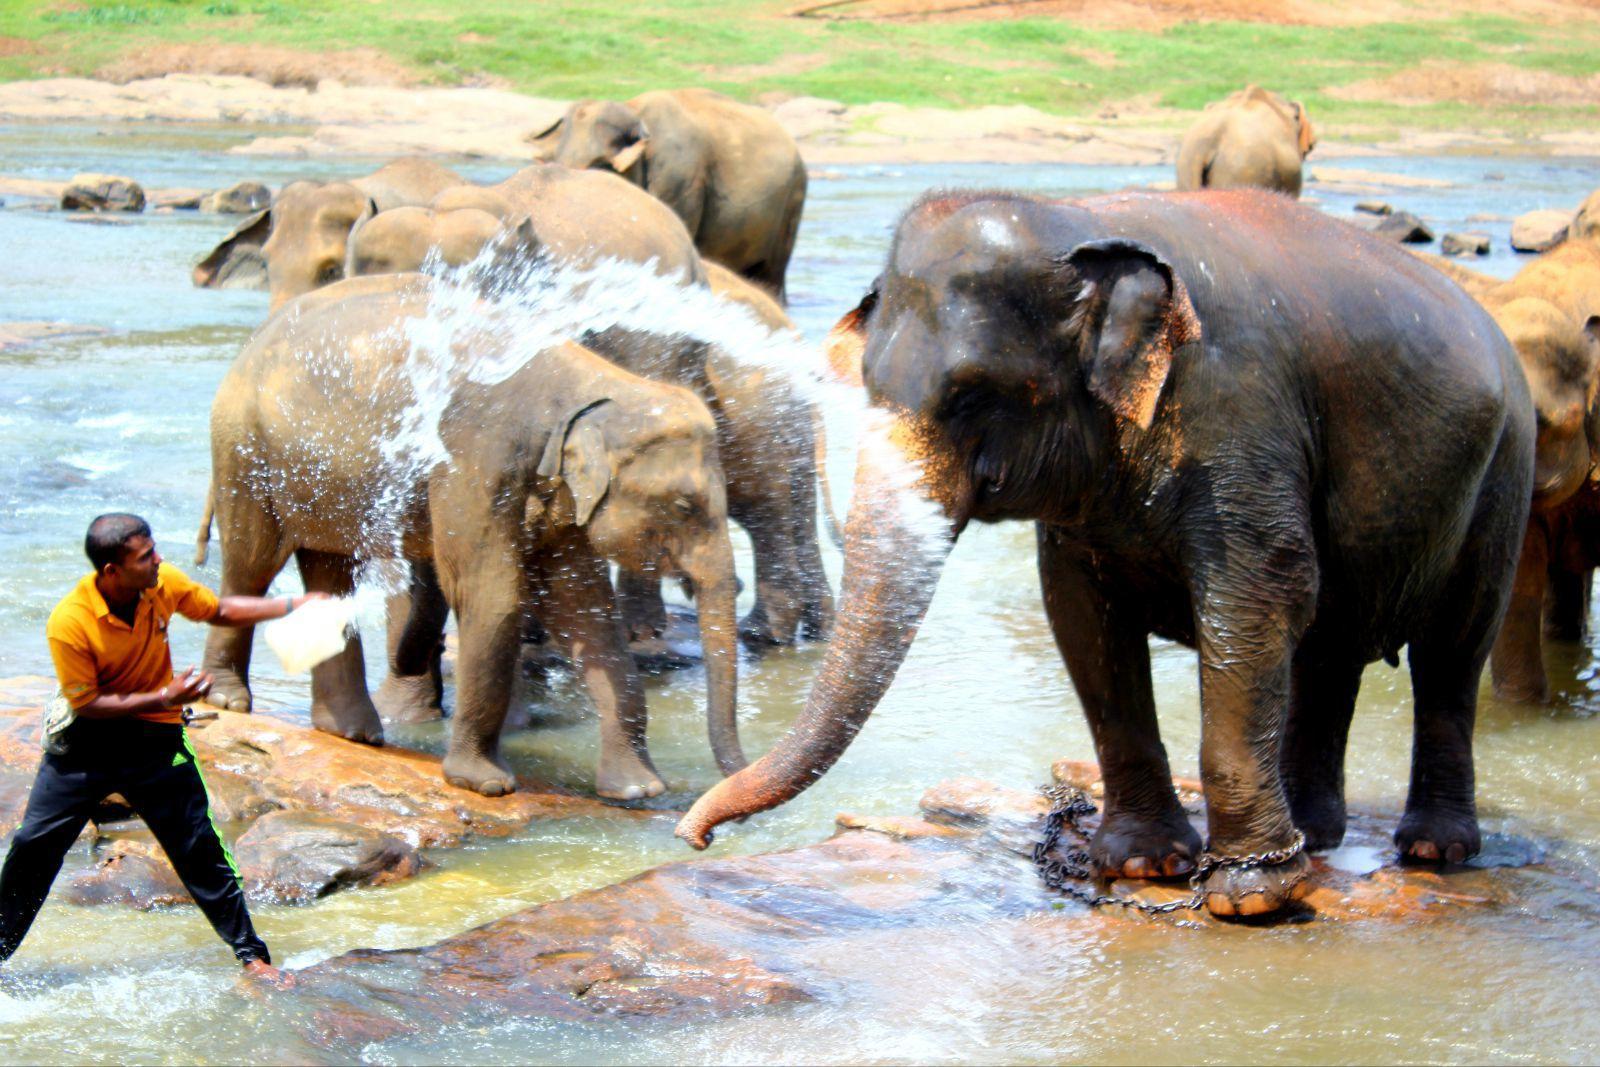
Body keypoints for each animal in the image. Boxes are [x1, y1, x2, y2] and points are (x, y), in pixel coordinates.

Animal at [196, 271, 739, 796]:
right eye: (685, 506)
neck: (598, 386)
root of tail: (254, 339)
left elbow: (585, 609)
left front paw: (637, 791)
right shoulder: (475, 462)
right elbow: (492, 598)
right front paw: (486, 785)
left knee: (330, 575)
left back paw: (351, 732)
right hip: (245, 449)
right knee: (250, 564)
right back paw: (228, 698)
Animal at [531, 88, 806, 300]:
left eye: (600, 164)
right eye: (554, 158)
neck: (635, 112)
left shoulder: (680, 178)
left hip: (790, 205)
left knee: (771, 274)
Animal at [678, 189, 1536, 921]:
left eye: (970, 394)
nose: (694, 833)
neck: (1078, 219)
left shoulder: (1240, 414)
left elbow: (1257, 601)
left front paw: (1249, 898)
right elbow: (1081, 617)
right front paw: (1141, 864)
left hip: (1506, 472)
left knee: (1452, 652)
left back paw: (1433, 849)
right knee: (1331, 649)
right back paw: (1317, 834)